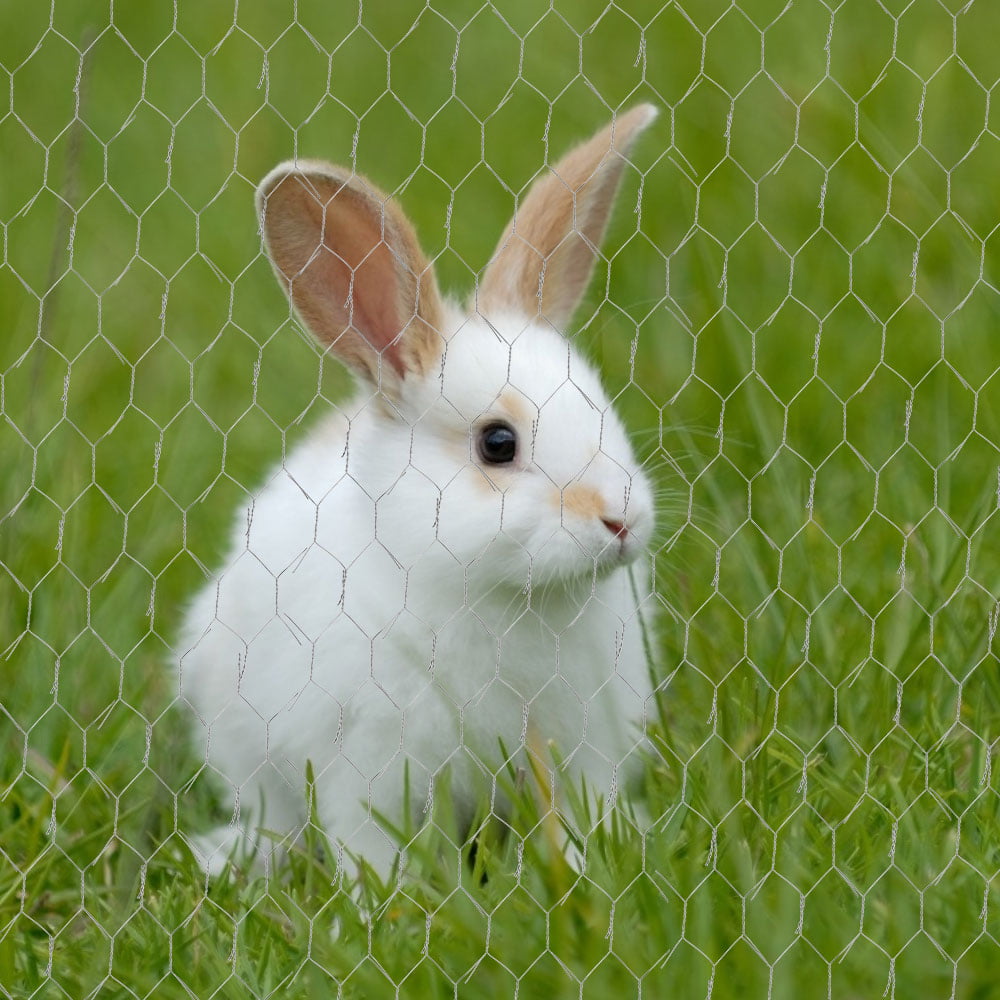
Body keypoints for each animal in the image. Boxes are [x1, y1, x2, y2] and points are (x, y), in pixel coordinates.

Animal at [178, 103, 664, 884]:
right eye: (497, 444)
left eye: (601, 406)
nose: (622, 521)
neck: (497, 594)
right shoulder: (365, 759)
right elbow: (370, 845)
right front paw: (386, 900)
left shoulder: (584, 741)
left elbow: (579, 812)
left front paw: (594, 862)